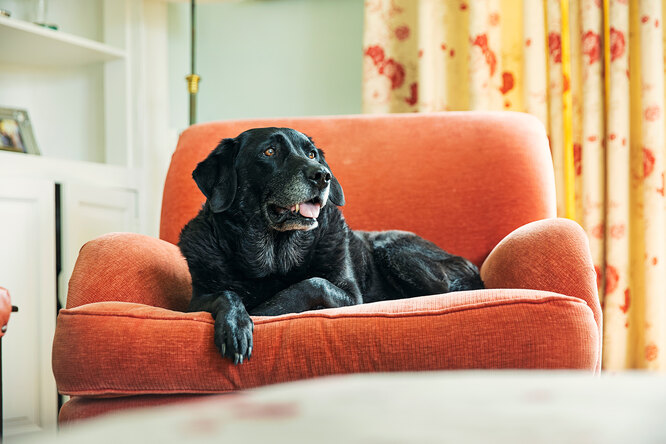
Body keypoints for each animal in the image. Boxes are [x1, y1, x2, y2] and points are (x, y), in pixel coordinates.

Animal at [179, 127, 480, 364]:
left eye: (312, 154)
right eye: (269, 152)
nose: (323, 175)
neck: (275, 258)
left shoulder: (351, 297)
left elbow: (313, 283)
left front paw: (261, 311)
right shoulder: (193, 303)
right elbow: (226, 294)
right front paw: (236, 323)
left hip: (394, 252)